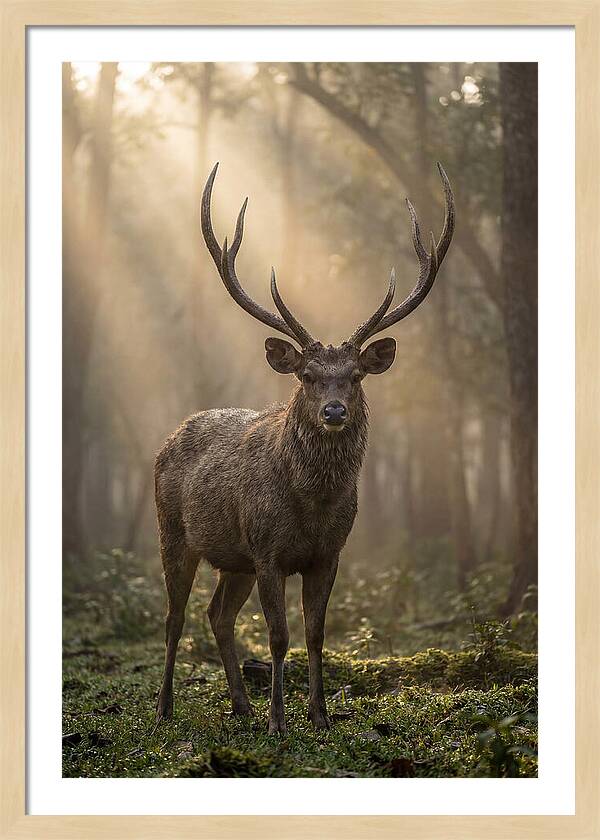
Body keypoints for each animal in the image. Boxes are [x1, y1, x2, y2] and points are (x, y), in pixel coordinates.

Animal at [155, 162, 454, 734]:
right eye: (309, 375)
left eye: (356, 376)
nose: (334, 411)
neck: (311, 507)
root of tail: (170, 435)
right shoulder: (268, 550)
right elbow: (279, 636)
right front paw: (279, 721)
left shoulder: (328, 554)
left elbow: (315, 633)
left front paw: (318, 715)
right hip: (174, 532)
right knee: (175, 616)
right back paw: (164, 709)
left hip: (234, 559)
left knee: (217, 614)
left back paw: (240, 705)